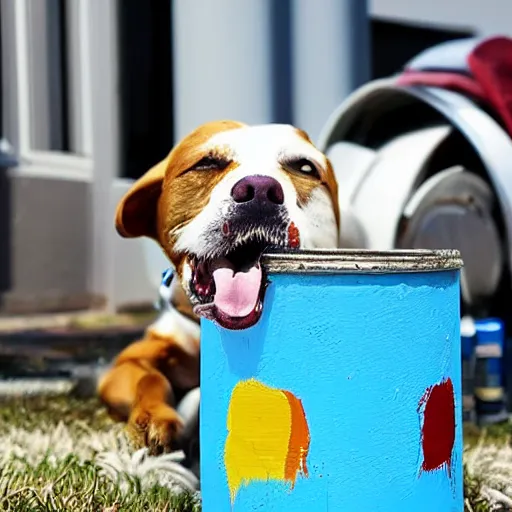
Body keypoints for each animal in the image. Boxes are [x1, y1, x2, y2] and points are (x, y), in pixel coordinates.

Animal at [98, 120, 342, 456]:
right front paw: (153, 418)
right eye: (207, 163)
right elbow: (150, 378)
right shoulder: (126, 363)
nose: (259, 191)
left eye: (304, 167)